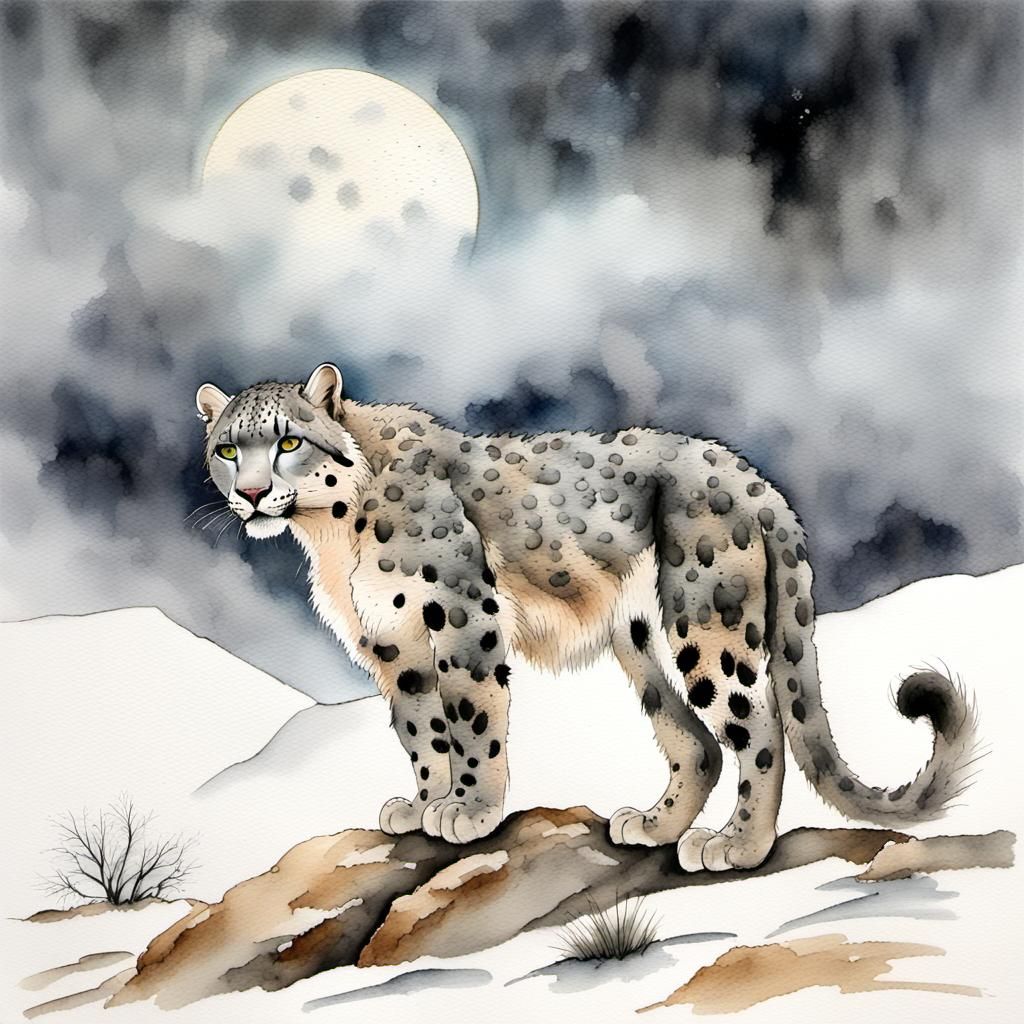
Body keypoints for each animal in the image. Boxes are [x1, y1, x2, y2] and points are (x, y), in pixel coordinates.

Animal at [194, 363, 978, 871]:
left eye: (289, 441)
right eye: (229, 448)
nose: (253, 494)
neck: (332, 540)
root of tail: (754, 479)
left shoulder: (459, 615)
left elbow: (471, 720)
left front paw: (469, 809)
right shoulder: (396, 646)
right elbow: (421, 732)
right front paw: (424, 803)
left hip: (707, 624)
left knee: (757, 728)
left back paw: (735, 845)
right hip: (640, 641)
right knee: (696, 741)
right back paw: (653, 826)